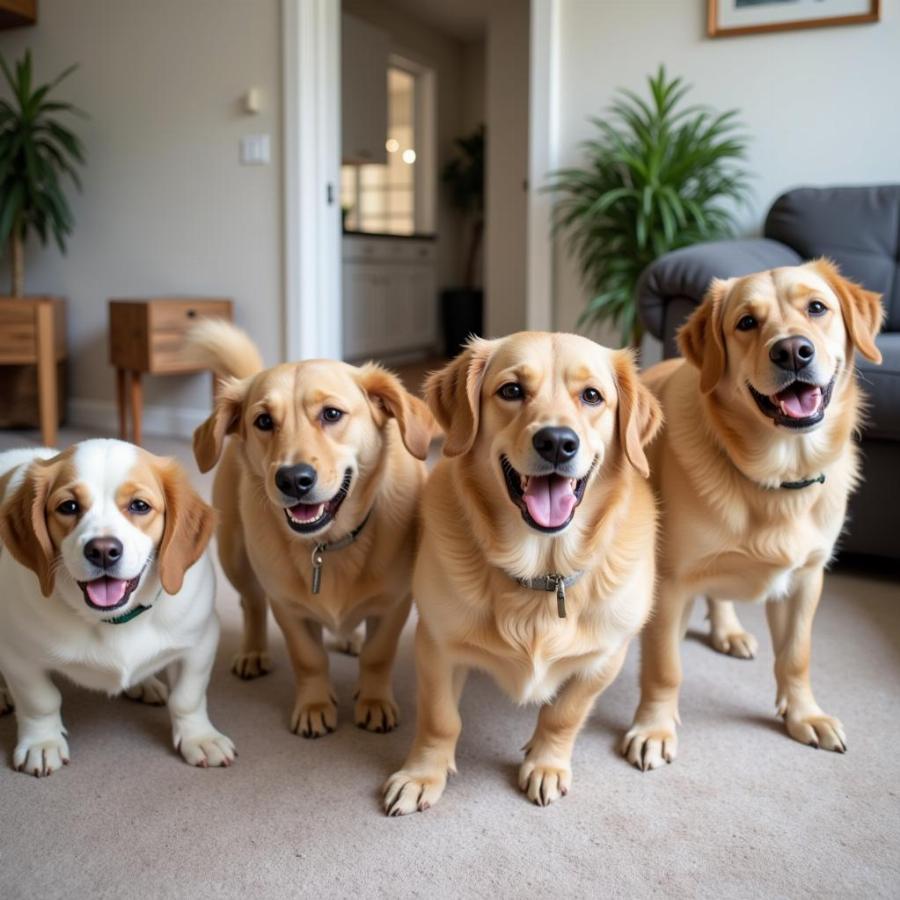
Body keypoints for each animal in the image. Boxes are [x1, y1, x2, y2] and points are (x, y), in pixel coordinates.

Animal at [0, 440, 236, 776]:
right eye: (68, 507)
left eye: (139, 505)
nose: (102, 550)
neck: (115, 620)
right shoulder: (18, 656)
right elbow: (40, 701)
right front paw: (41, 743)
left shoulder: (201, 641)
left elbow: (187, 697)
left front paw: (199, 737)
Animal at [188, 324, 434, 740]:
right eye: (263, 421)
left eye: (331, 414)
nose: (293, 479)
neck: (327, 545)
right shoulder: (288, 608)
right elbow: (309, 659)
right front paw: (315, 705)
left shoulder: (394, 604)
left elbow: (377, 655)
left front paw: (374, 700)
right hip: (235, 558)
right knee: (250, 603)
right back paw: (253, 650)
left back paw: (348, 637)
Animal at [382, 332, 660, 816]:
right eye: (511, 390)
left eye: (592, 396)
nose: (557, 442)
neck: (543, 573)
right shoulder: (436, 646)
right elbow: (440, 719)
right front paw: (422, 774)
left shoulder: (604, 657)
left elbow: (563, 715)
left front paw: (546, 763)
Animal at [624, 256, 884, 768]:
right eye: (746, 322)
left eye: (817, 307)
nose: (793, 351)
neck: (780, 477)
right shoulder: (672, 581)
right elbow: (665, 666)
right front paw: (654, 727)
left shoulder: (807, 579)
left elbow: (796, 657)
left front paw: (804, 715)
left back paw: (728, 630)